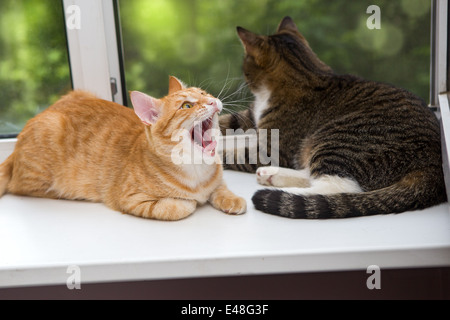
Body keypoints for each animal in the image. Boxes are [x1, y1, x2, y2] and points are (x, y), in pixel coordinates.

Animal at [0, 77, 246, 220]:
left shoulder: (217, 181)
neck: (196, 170)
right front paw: (190, 201)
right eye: (186, 105)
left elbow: (220, 189)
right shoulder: (130, 199)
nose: (213, 101)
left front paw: (231, 199)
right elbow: (180, 207)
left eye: (204, 94)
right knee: (18, 186)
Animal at [219, 16, 446, 219]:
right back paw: (272, 175)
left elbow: (233, 153)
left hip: (339, 140)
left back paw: (283, 192)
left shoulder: (272, 148)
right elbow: (225, 129)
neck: (304, 73)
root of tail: (433, 165)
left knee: (339, 188)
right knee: (313, 173)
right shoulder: (251, 121)